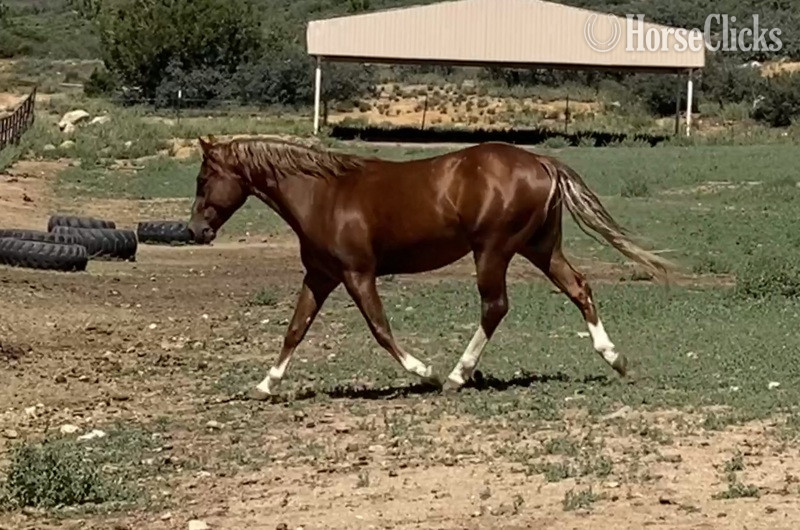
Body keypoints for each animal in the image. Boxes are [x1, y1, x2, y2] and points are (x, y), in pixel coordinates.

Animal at [187, 136, 674, 400]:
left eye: (202, 179)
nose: (195, 230)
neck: (323, 194)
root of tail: (541, 162)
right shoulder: (321, 276)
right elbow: (295, 329)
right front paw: (265, 384)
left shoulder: (357, 273)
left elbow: (381, 329)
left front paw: (426, 372)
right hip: (540, 248)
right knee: (579, 288)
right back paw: (616, 359)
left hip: (493, 250)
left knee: (495, 306)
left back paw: (457, 375)